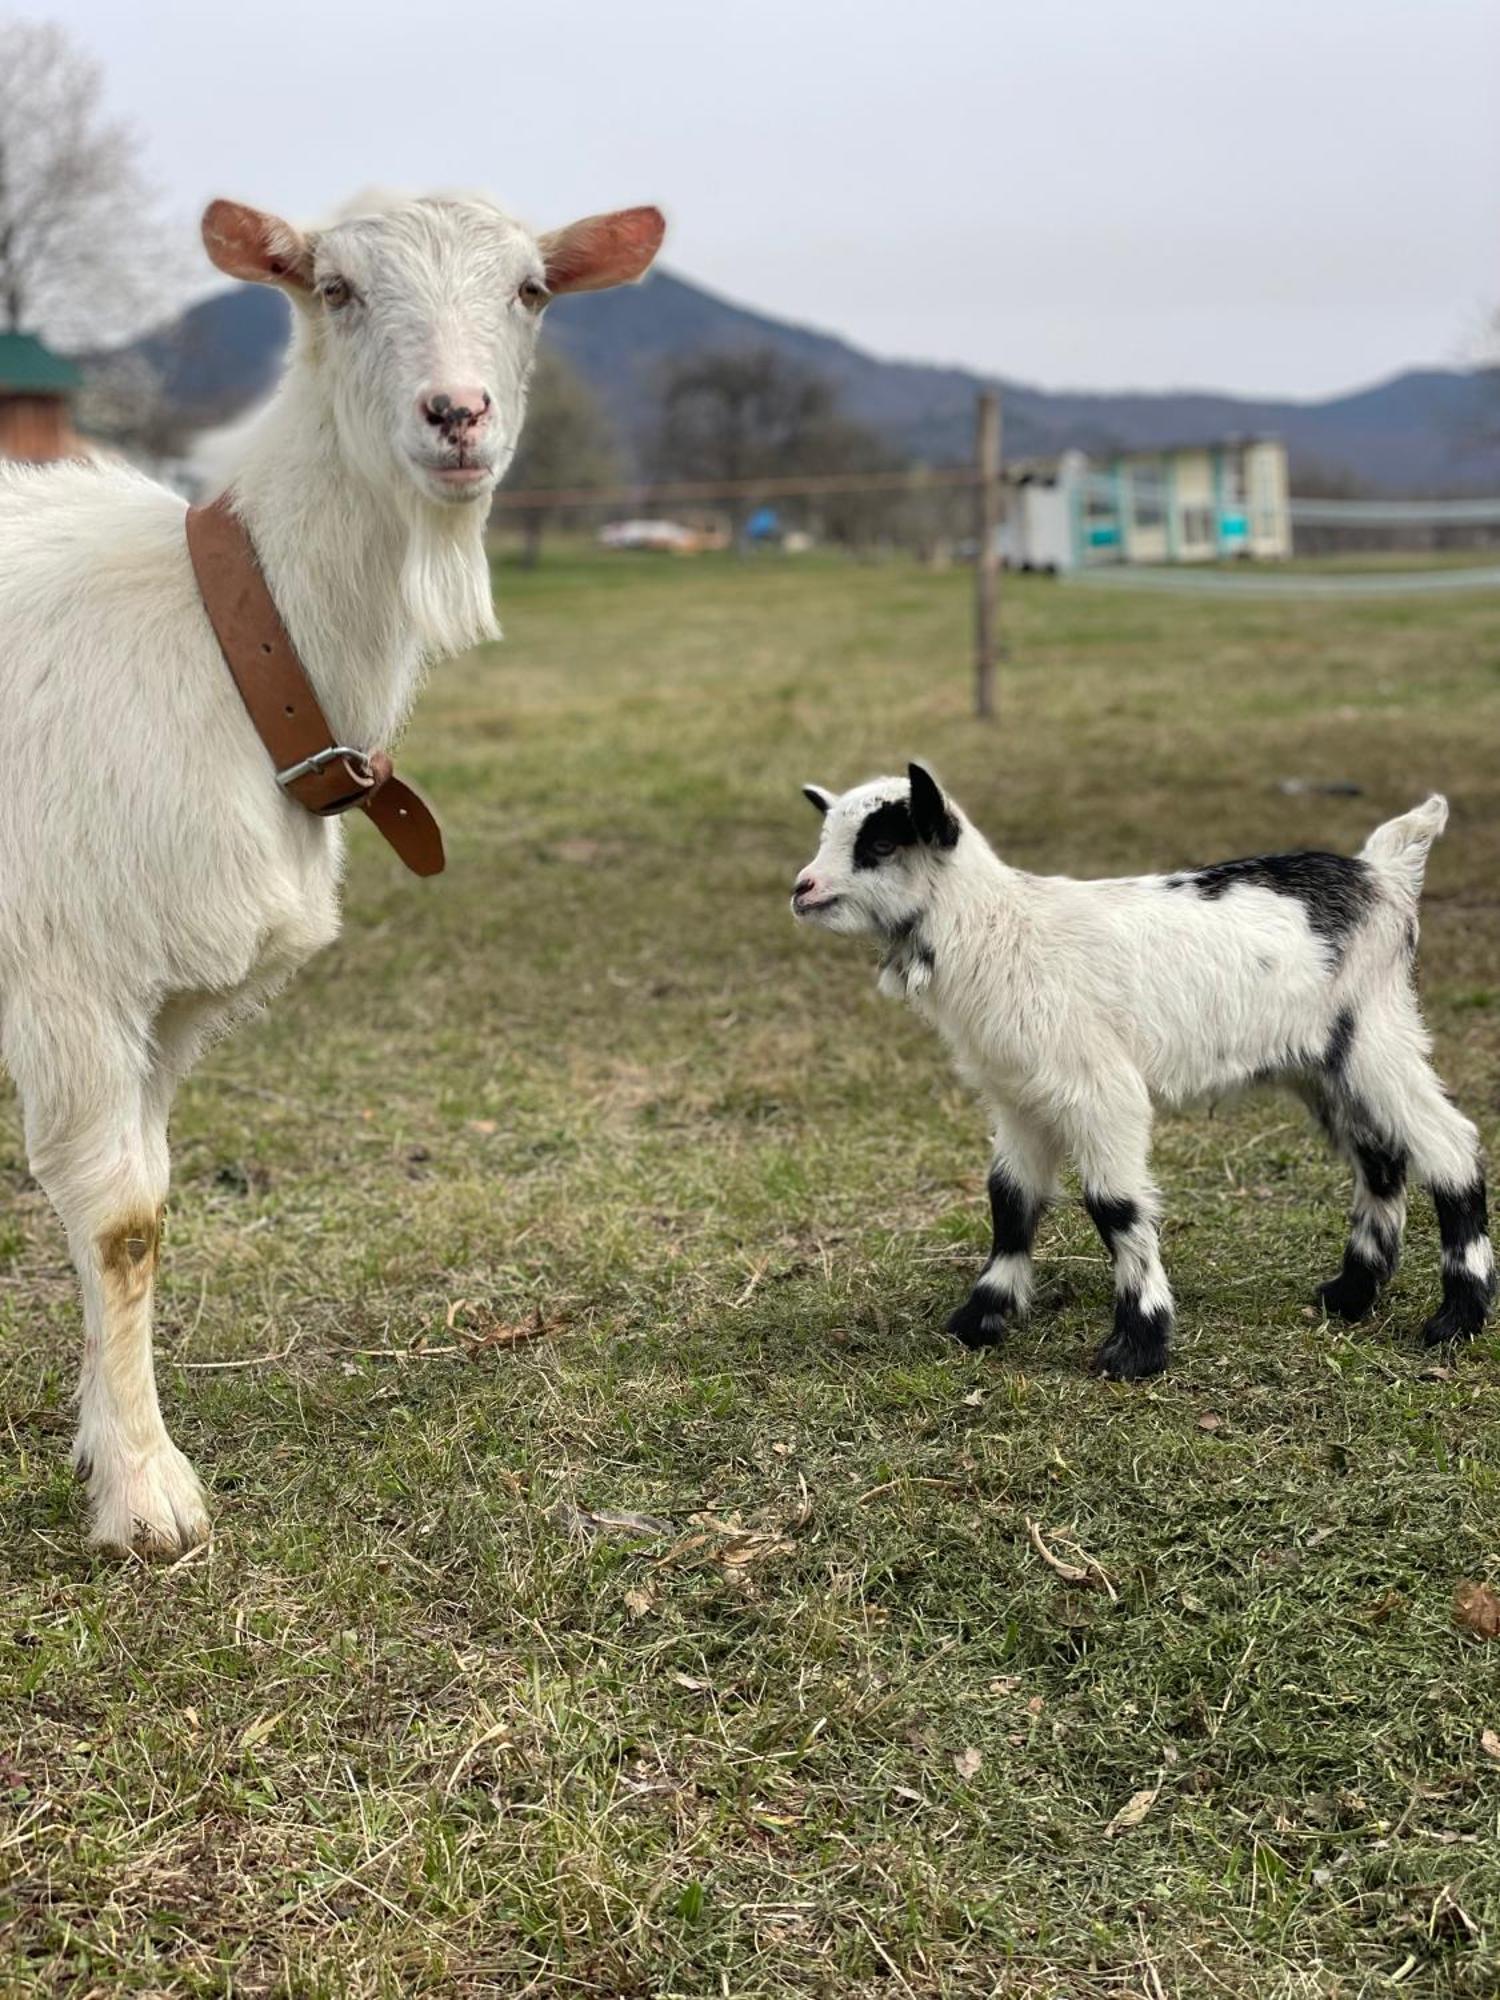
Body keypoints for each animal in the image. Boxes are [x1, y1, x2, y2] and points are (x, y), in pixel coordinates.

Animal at [0, 188, 664, 1552]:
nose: (457, 414)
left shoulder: (165, 1005)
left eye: (532, 291)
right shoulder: (68, 972)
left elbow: (144, 1205)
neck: (223, 638)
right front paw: (147, 1496)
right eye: (336, 288)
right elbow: (120, 1218)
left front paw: (104, 1439)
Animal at [792, 756, 1496, 1384]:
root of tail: (1381, 874)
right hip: (1323, 1064)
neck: (1001, 932)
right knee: (1380, 1155)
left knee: (1450, 1146)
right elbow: (1010, 1200)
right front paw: (981, 1318)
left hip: (1375, 1036)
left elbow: (1115, 1206)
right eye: (827, 834)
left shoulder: (1100, 1090)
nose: (802, 889)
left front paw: (1138, 1346)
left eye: (882, 843)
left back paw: (1456, 1319)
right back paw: (1350, 1296)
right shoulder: (1018, 1097)